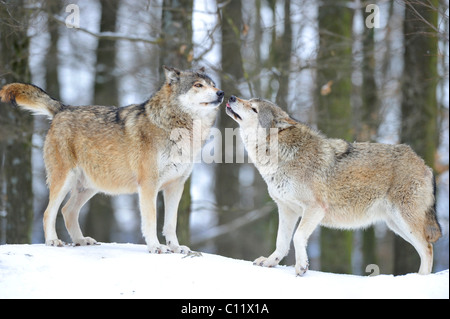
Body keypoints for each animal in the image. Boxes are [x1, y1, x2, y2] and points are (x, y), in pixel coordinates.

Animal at [0, 65, 225, 255]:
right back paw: (53, 241)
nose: (221, 93)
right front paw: (155, 247)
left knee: (67, 211)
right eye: (198, 85)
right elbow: (151, 220)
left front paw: (176, 248)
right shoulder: (148, 185)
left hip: (89, 187)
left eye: (213, 84)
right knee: (50, 212)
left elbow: (170, 223)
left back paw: (81, 240)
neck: (179, 129)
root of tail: (63, 108)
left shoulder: (176, 186)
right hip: (65, 180)